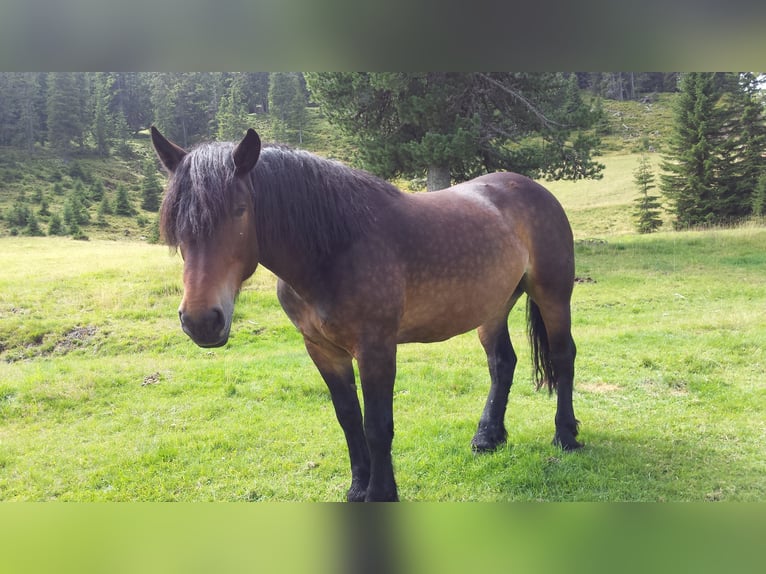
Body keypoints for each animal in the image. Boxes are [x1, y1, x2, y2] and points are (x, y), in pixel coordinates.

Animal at [152, 127, 584, 504]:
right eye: (174, 221)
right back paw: (488, 437)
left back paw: (566, 436)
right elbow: (348, 418)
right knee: (501, 362)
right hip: (492, 307)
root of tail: (532, 188)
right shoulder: (322, 349)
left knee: (563, 357)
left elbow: (378, 425)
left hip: (553, 294)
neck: (335, 248)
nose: (201, 321)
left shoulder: (376, 348)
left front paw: (381, 493)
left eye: (240, 211)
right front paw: (359, 486)